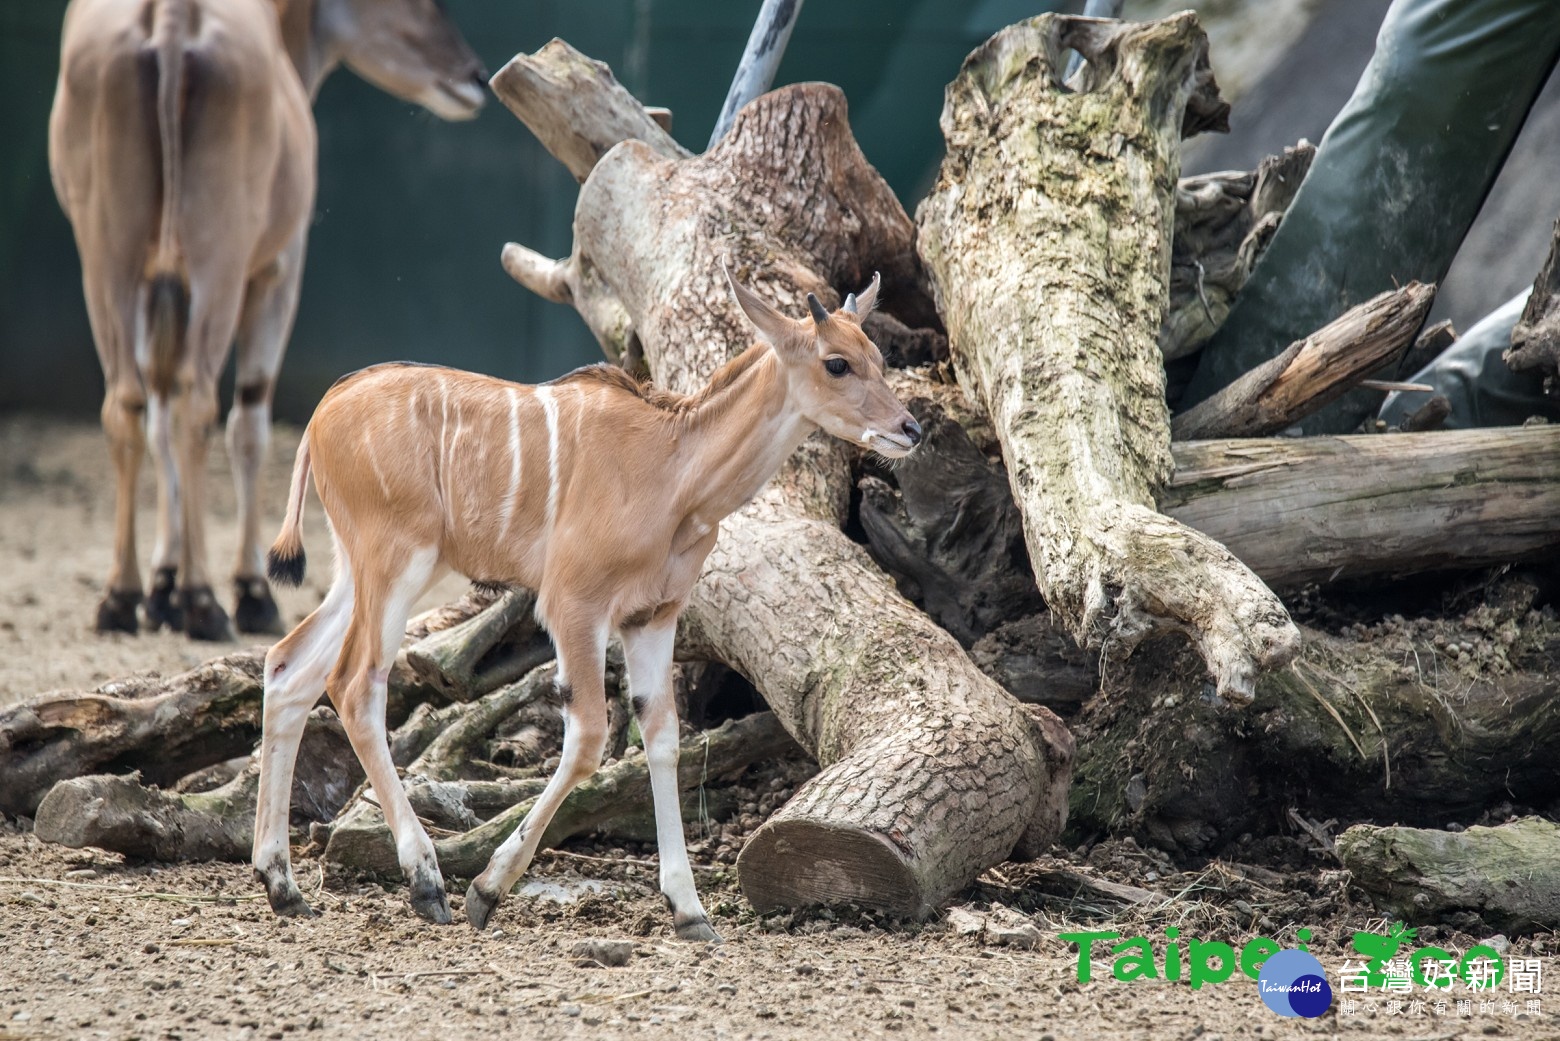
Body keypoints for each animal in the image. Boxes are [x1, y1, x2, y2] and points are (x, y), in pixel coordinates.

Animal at [50, 0, 480, 643]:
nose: (475, 76)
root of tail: (170, 22)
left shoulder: (156, 286)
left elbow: (157, 417)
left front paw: (161, 588)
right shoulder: (277, 271)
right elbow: (248, 421)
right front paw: (247, 590)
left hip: (106, 260)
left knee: (128, 402)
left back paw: (123, 595)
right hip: (220, 264)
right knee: (200, 404)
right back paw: (205, 600)